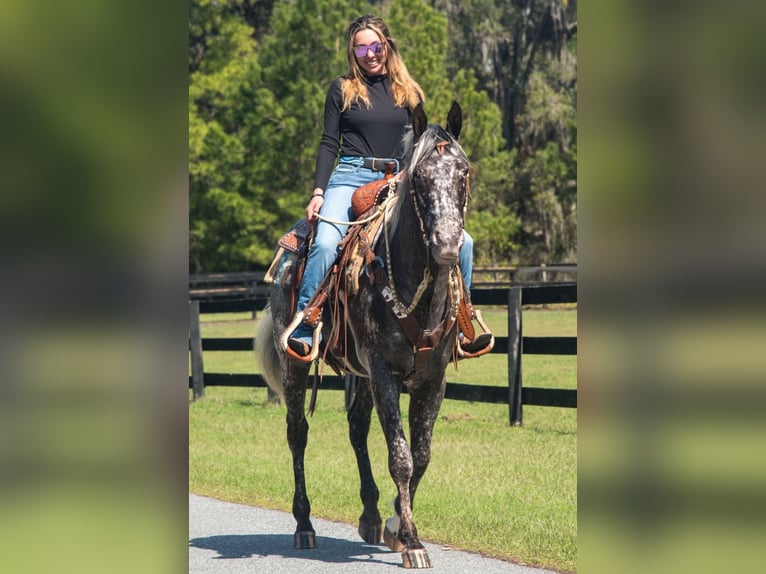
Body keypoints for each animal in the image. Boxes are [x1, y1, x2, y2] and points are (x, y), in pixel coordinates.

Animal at [258, 103, 472, 572]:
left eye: (463, 172)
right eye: (420, 177)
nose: (447, 245)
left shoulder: (432, 380)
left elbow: (421, 455)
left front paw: (395, 526)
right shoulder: (384, 372)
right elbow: (401, 457)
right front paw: (413, 542)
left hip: (358, 373)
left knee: (356, 428)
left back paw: (371, 517)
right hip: (296, 363)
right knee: (297, 433)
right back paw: (304, 525)